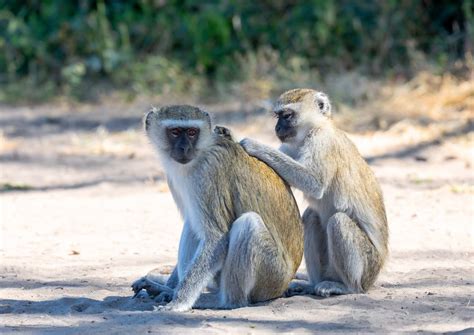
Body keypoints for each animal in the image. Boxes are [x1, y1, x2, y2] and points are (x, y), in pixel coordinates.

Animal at [132, 105, 304, 312]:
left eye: (192, 132)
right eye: (175, 132)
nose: (184, 148)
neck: (200, 154)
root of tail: (285, 283)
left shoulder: (208, 172)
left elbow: (216, 238)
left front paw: (178, 302)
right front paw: (169, 289)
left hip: (272, 277)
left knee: (248, 224)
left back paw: (224, 302)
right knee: (193, 225)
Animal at [241, 88, 388, 298]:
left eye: (287, 116)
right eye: (278, 116)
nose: (277, 128)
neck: (315, 128)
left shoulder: (321, 142)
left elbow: (314, 183)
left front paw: (253, 145)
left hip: (369, 266)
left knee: (338, 221)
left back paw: (347, 287)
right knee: (311, 216)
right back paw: (312, 284)